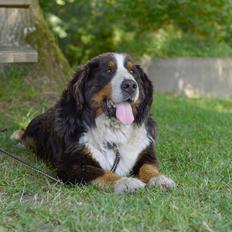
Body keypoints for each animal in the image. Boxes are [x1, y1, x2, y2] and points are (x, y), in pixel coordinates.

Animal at [12, 53, 176, 194]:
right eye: (108, 70)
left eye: (132, 71)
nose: (130, 85)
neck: (114, 129)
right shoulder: (72, 165)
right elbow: (101, 172)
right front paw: (125, 182)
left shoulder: (145, 153)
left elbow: (148, 167)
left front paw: (159, 178)